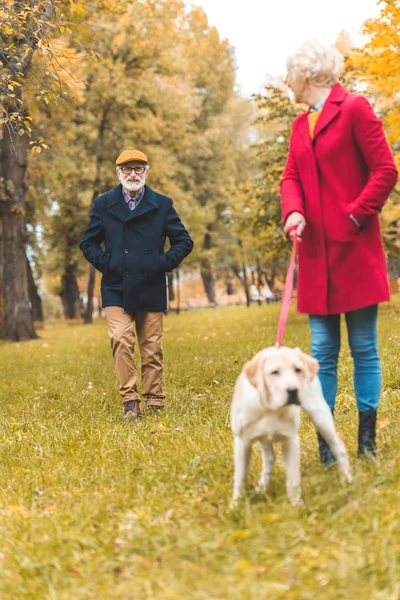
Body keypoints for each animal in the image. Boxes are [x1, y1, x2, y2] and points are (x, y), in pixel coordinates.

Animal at [230, 346, 352, 506]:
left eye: (297, 370)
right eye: (274, 372)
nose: (293, 390)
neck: (271, 409)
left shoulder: (291, 441)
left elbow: (293, 479)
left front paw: (296, 505)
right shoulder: (242, 442)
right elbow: (240, 477)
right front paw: (235, 505)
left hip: (320, 414)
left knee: (339, 448)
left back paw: (347, 481)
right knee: (269, 458)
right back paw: (262, 487)